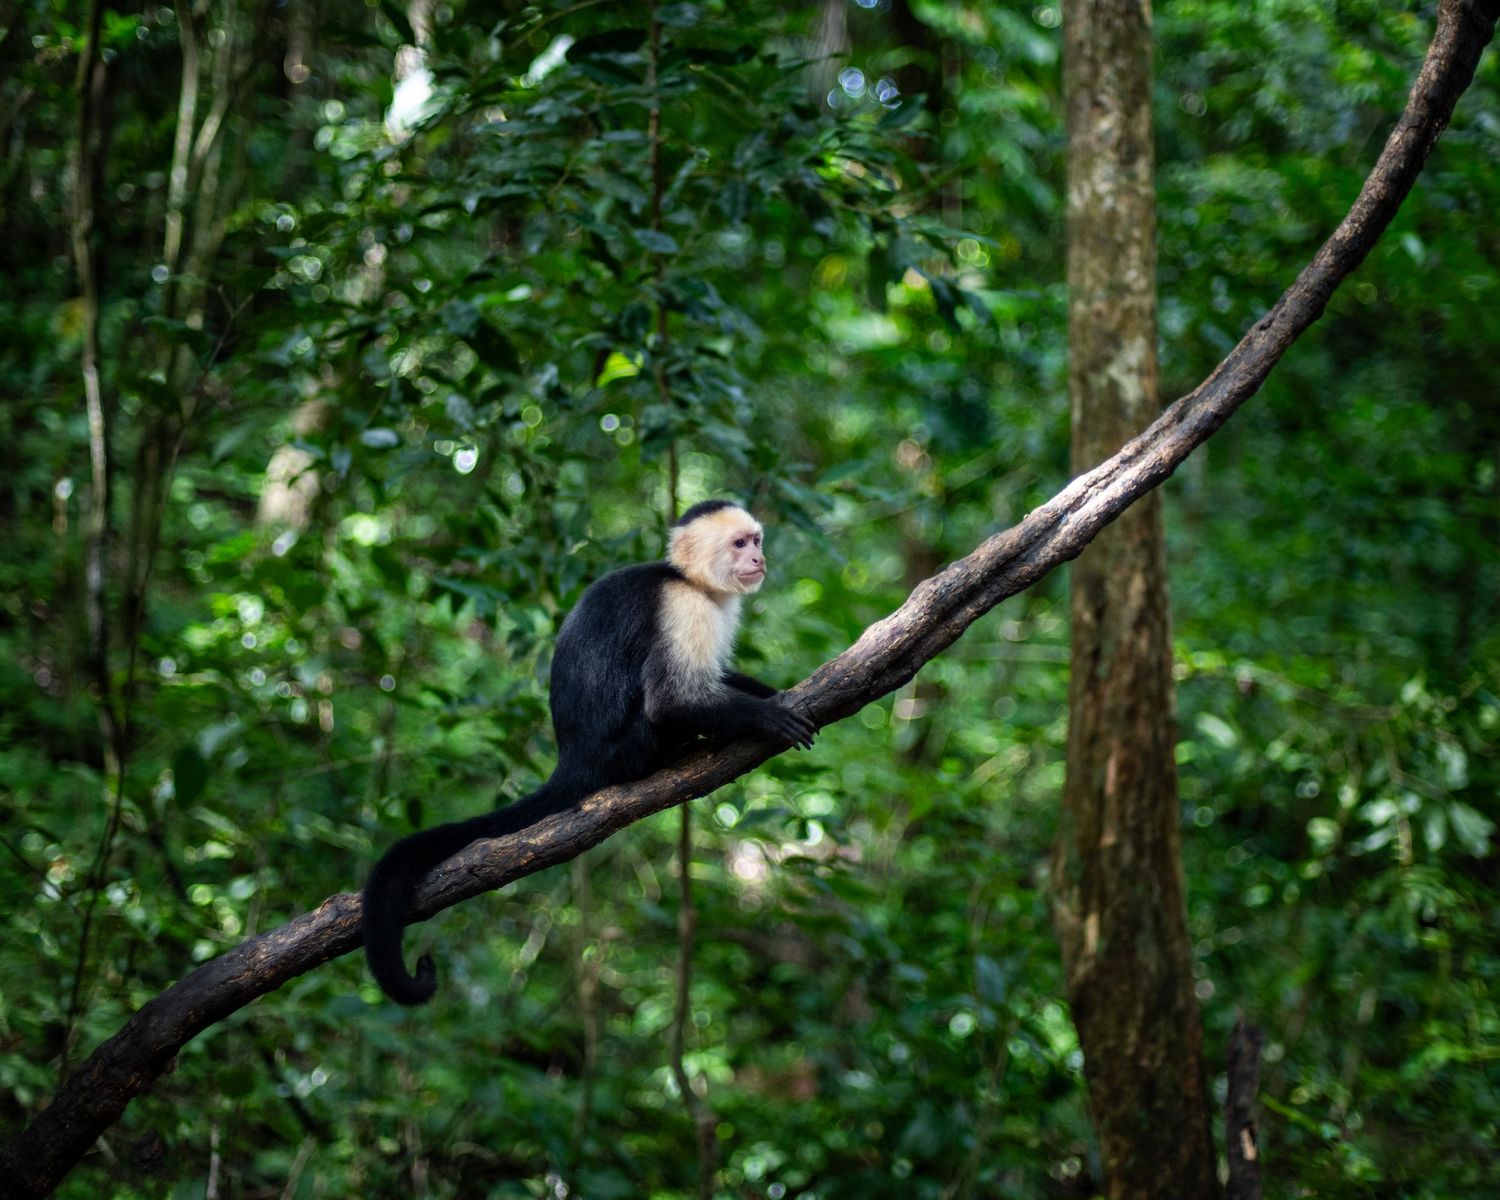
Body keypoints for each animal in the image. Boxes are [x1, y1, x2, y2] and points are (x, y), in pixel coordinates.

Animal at [362, 499, 817, 1005]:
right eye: (739, 544)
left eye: (755, 540)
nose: (758, 558)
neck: (689, 579)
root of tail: (574, 761)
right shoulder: (684, 607)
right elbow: (672, 700)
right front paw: (767, 715)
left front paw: (776, 693)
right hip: (628, 750)